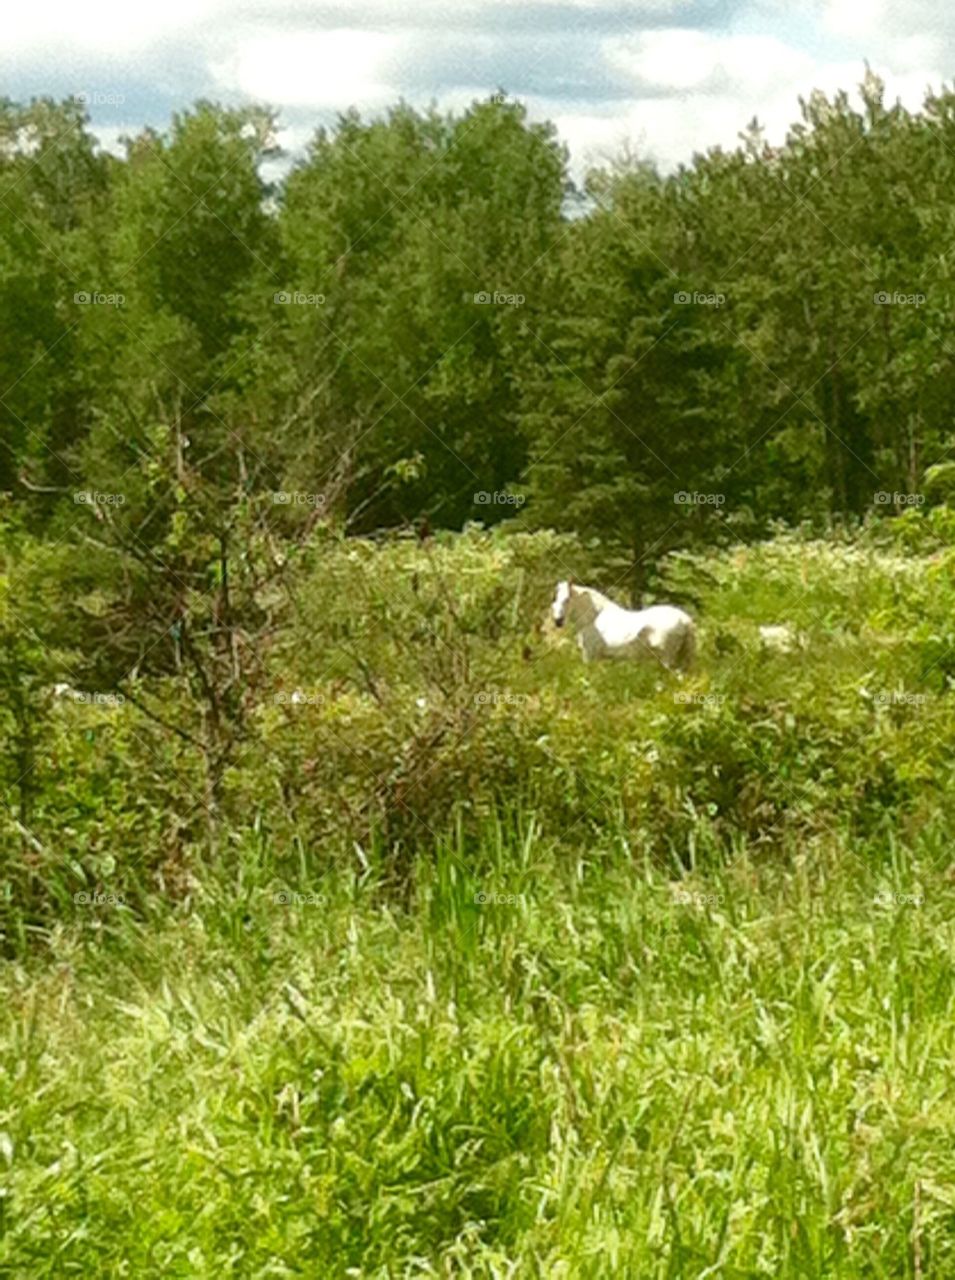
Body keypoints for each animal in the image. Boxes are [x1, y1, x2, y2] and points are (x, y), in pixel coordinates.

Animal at [551, 580, 696, 671]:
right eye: (555, 599)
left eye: (567, 599)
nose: (558, 621)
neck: (594, 617)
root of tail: (685, 619)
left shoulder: (589, 655)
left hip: (668, 659)